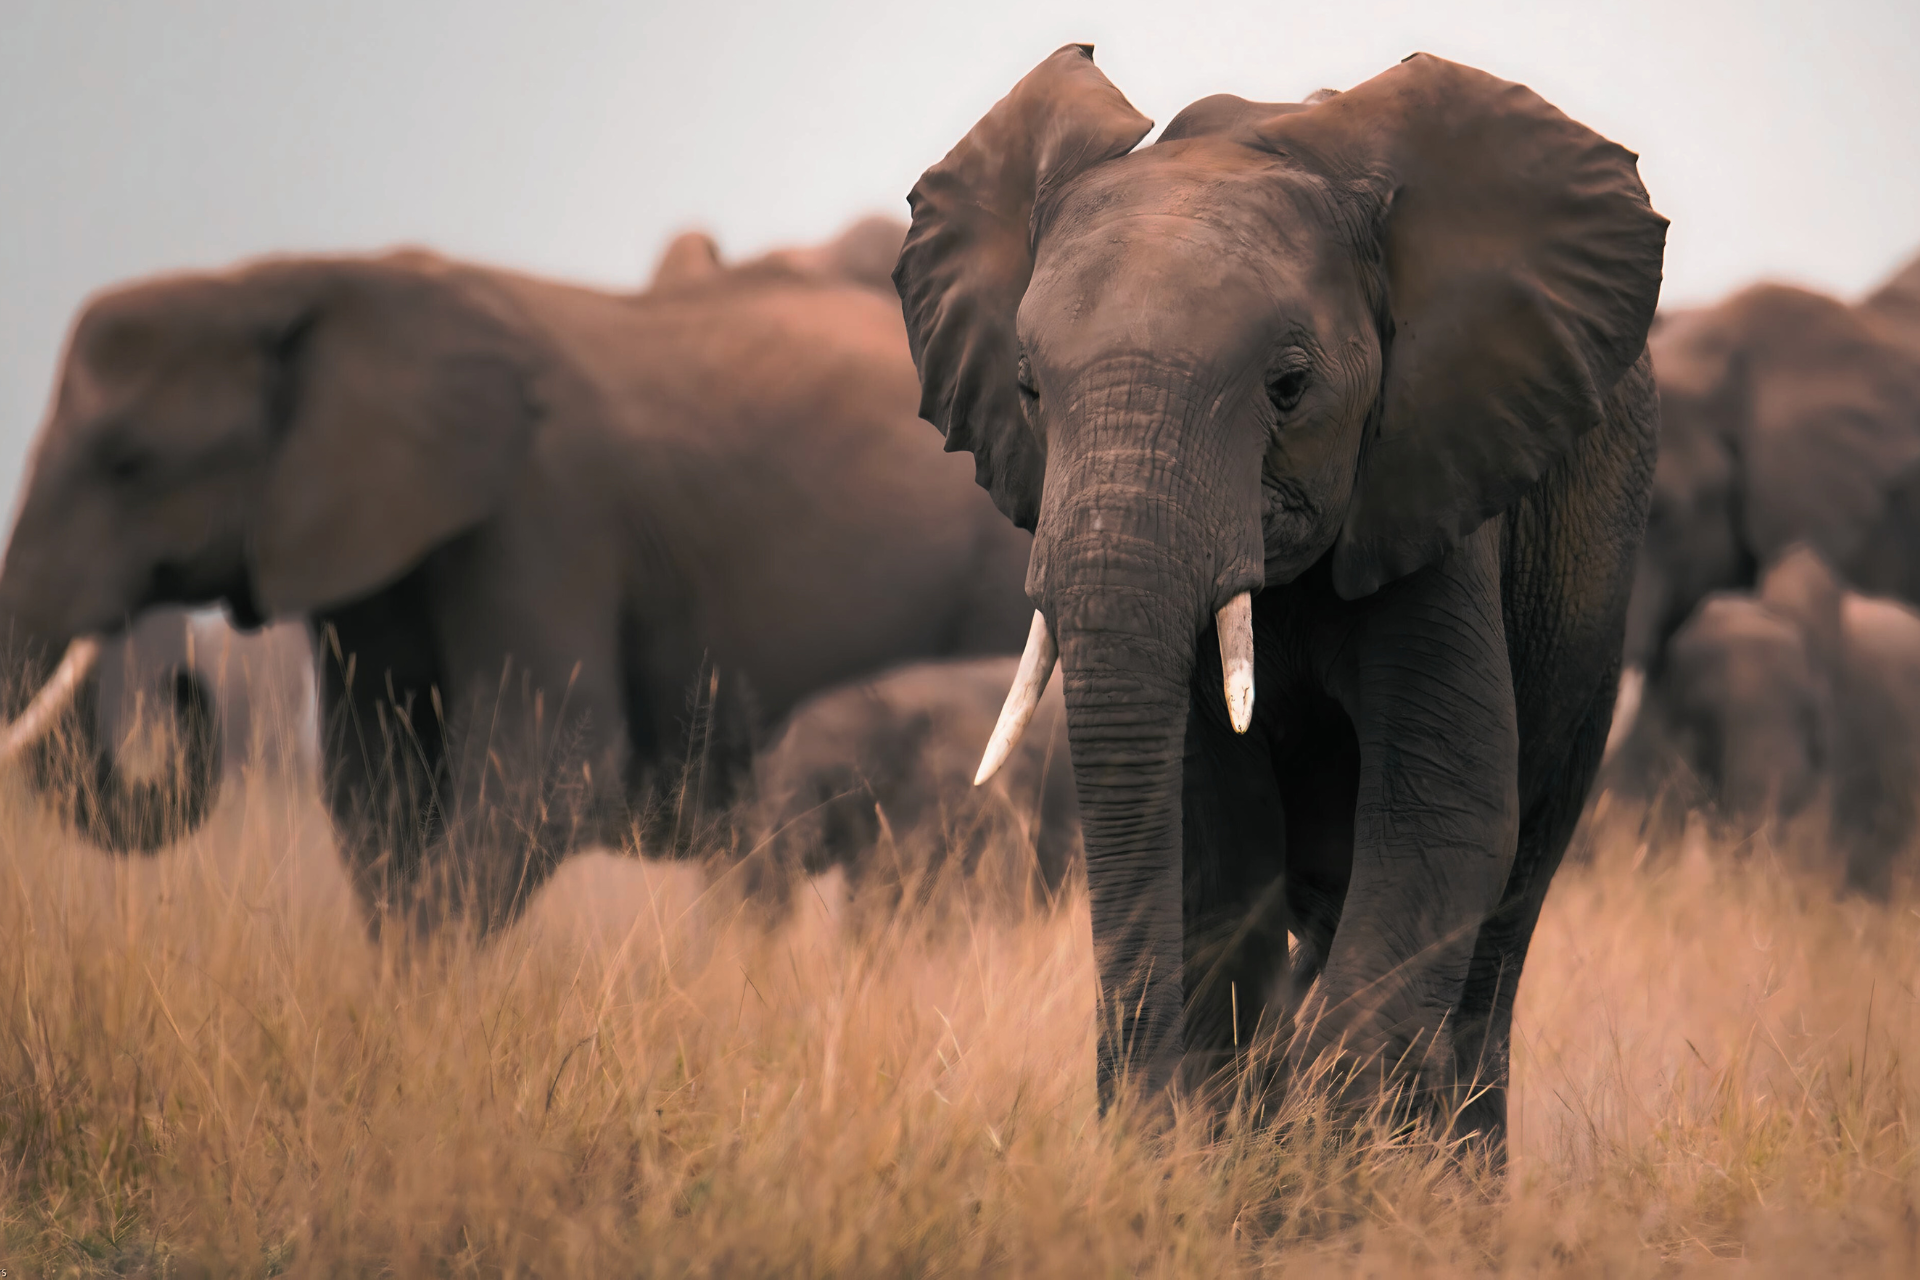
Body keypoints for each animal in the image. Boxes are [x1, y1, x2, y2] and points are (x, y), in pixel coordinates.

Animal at [0, 217, 1034, 933]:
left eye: (129, 463)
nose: (183, 688)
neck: (292, 282)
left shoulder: (545, 515)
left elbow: (549, 770)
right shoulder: (374, 548)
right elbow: (376, 788)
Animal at [892, 46, 1665, 1145]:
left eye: (1289, 387)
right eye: (1030, 390)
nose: (1119, 1110)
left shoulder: (1436, 480)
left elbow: (1443, 815)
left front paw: (1323, 1158)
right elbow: (1215, 836)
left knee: (1499, 932)